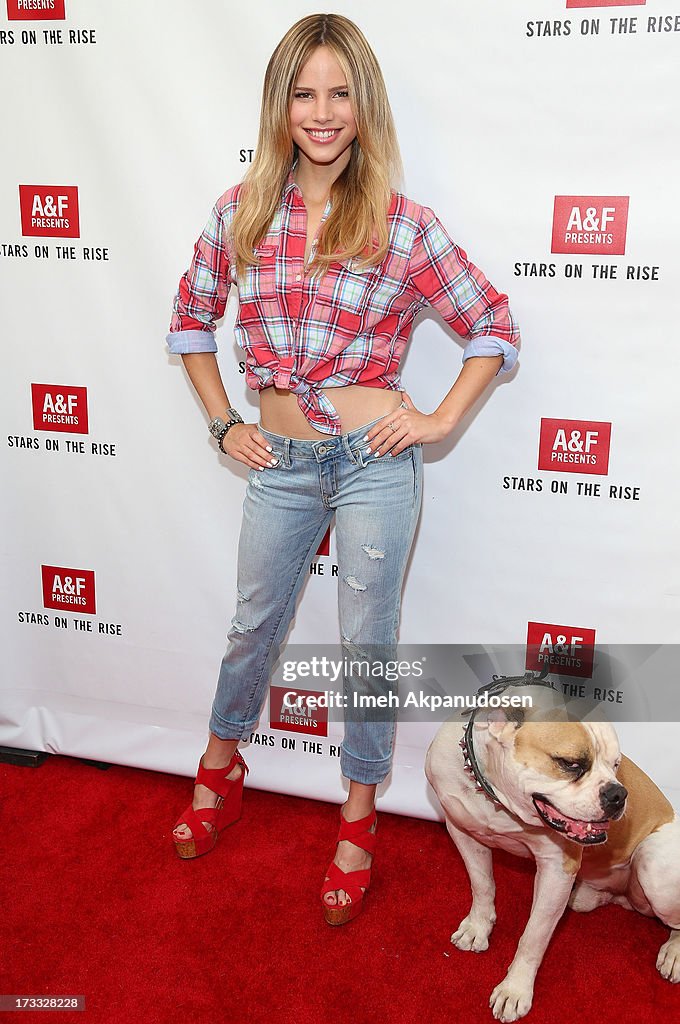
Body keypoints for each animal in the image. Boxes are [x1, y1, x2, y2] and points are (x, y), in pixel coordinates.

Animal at [426, 675, 680, 1019]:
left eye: (616, 765)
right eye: (571, 764)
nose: (618, 794)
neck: (497, 801)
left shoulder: (557, 870)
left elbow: (533, 936)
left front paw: (514, 989)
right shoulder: (462, 830)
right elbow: (482, 884)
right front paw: (478, 926)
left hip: (653, 864)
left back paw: (674, 952)